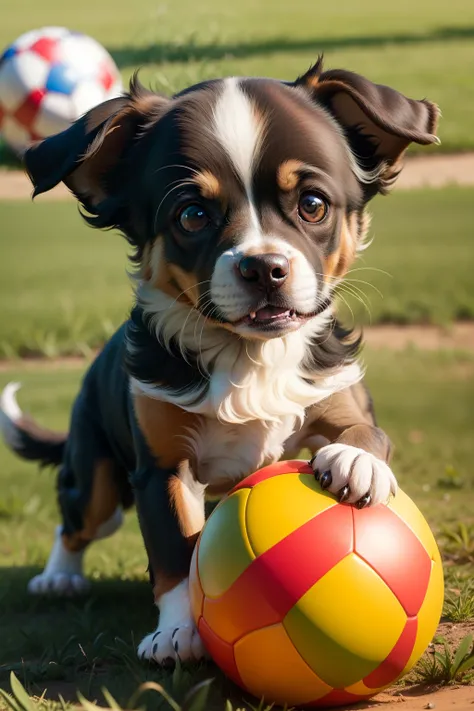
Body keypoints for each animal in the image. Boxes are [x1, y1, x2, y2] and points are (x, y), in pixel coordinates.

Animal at [0, 58, 436, 664]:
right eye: (192, 215)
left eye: (313, 205)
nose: (264, 267)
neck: (250, 356)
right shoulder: (163, 469)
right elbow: (176, 559)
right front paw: (176, 633)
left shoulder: (338, 393)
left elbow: (365, 433)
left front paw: (355, 462)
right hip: (99, 478)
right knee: (78, 518)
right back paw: (59, 576)